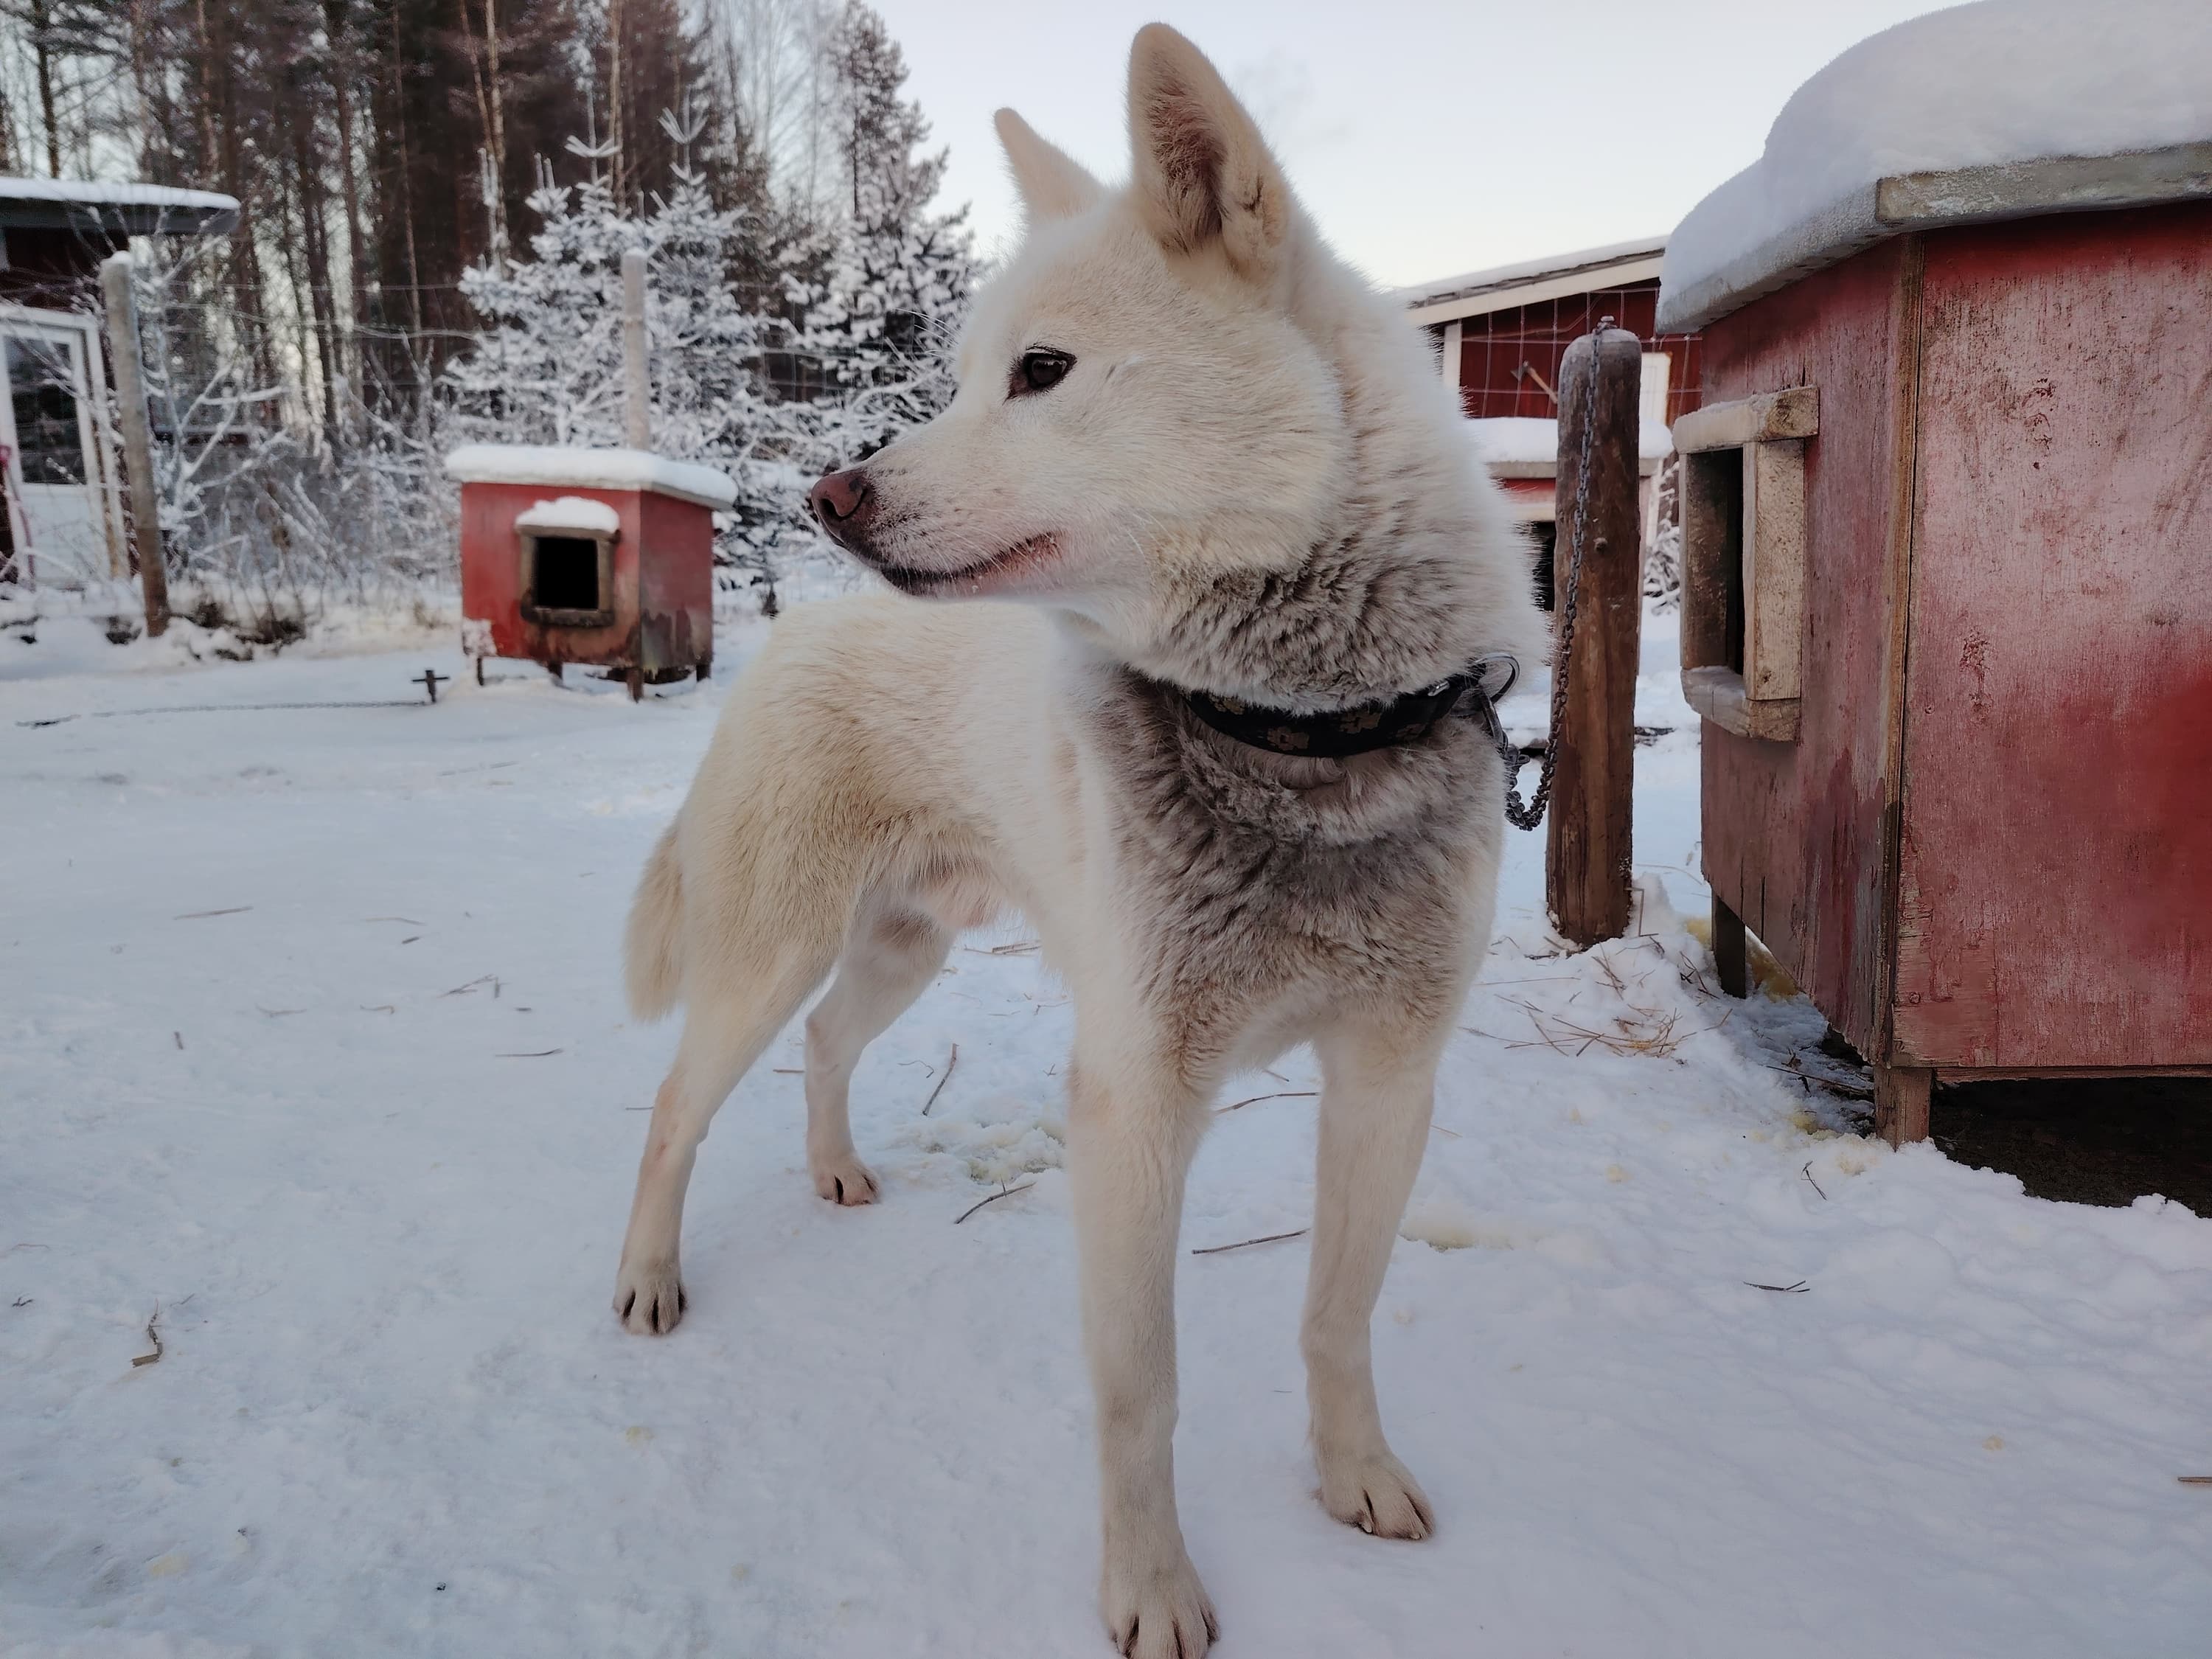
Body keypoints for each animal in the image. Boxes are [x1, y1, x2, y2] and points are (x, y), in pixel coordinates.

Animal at [613, 24, 1542, 1655]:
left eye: (1038, 373)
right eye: (966, 377)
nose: (830, 494)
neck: (1296, 736)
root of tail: (791, 639)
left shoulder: (1387, 1080)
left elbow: (1336, 1315)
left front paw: (1353, 1477)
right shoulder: (1133, 1104)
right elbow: (1141, 1394)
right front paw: (1153, 1592)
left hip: (906, 949)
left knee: (829, 1046)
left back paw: (836, 1171)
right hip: (769, 956)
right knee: (677, 1106)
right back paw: (651, 1277)